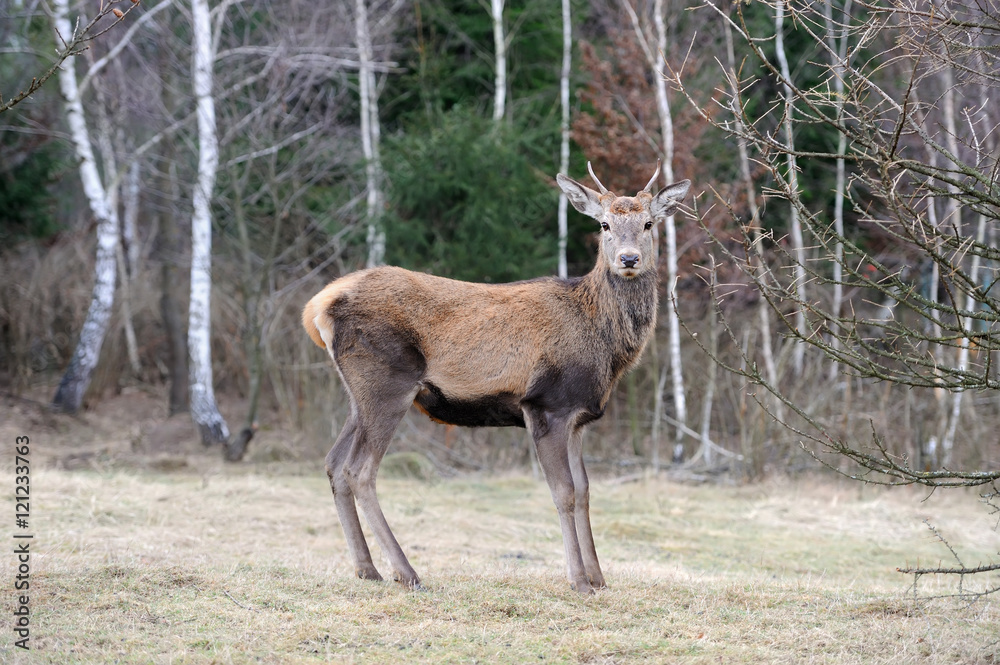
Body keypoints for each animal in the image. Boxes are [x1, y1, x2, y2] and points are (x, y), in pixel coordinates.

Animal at [302, 163, 688, 592]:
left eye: (649, 223)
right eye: (604, 224)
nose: (629, 258)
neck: (604, 347)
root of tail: (317, 307)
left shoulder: (578, 417)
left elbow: (587, 491)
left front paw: (599, 577)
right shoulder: (546, 405)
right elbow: (564, 492)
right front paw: (578, 580)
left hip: (359, 395)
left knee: (334, 463)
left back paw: (367, 568)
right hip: (387, 383)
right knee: (359, 470)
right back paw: (407, 572)